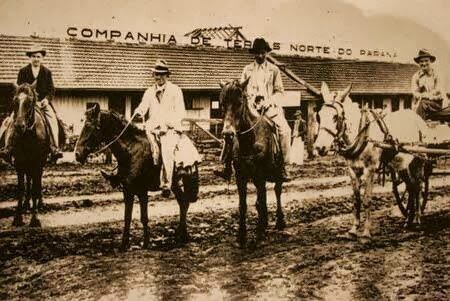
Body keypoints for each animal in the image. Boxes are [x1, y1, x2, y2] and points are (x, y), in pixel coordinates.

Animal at [9, 82, 50, 227]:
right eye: (14, 101)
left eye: (30, 102)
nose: (19, 126)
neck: (27, 135)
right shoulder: (19, 163)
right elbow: (21, 188)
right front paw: (18, 217)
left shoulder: (37, 163)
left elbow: (35, 188)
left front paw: (35, 218)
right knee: (29, 180)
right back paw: (27, 204)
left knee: (37, 182)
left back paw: (39, 203)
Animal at [74, 104, 199, 250]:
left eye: (90, 126)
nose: (77, 154)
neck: (131, 151)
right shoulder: (127, 190)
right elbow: (127, 217)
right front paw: (124, 244)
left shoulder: (141, 190)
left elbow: (144, 217)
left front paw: (145, 243)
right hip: (174, 184)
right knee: (183, 202)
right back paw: (181, 235)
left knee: (184, 202)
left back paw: (182, 236)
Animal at [220, 79, 286, 246]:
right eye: (222, 104)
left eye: (239, 103)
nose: (228, 134)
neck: (249, 140)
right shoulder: (240, 176)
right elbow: (243, 205)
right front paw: (242, 235)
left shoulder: (260, 175)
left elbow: (261, 201)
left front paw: (260, 233)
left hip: (276, 173)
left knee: (277, 191)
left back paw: (279, 221)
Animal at [312, 81, 428, 239]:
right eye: (319, 116)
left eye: (336, 117)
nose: (320, 147)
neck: (361, 135)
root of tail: (416, 117)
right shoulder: (352, 170)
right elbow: (356, 200)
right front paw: (353, 229)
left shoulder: (370, 170)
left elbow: (367, 199)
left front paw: (366, 231)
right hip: (402, 164)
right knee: (411, 187)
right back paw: (408, 221)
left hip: (418, 161)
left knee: (418, 187)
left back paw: (418, 218)